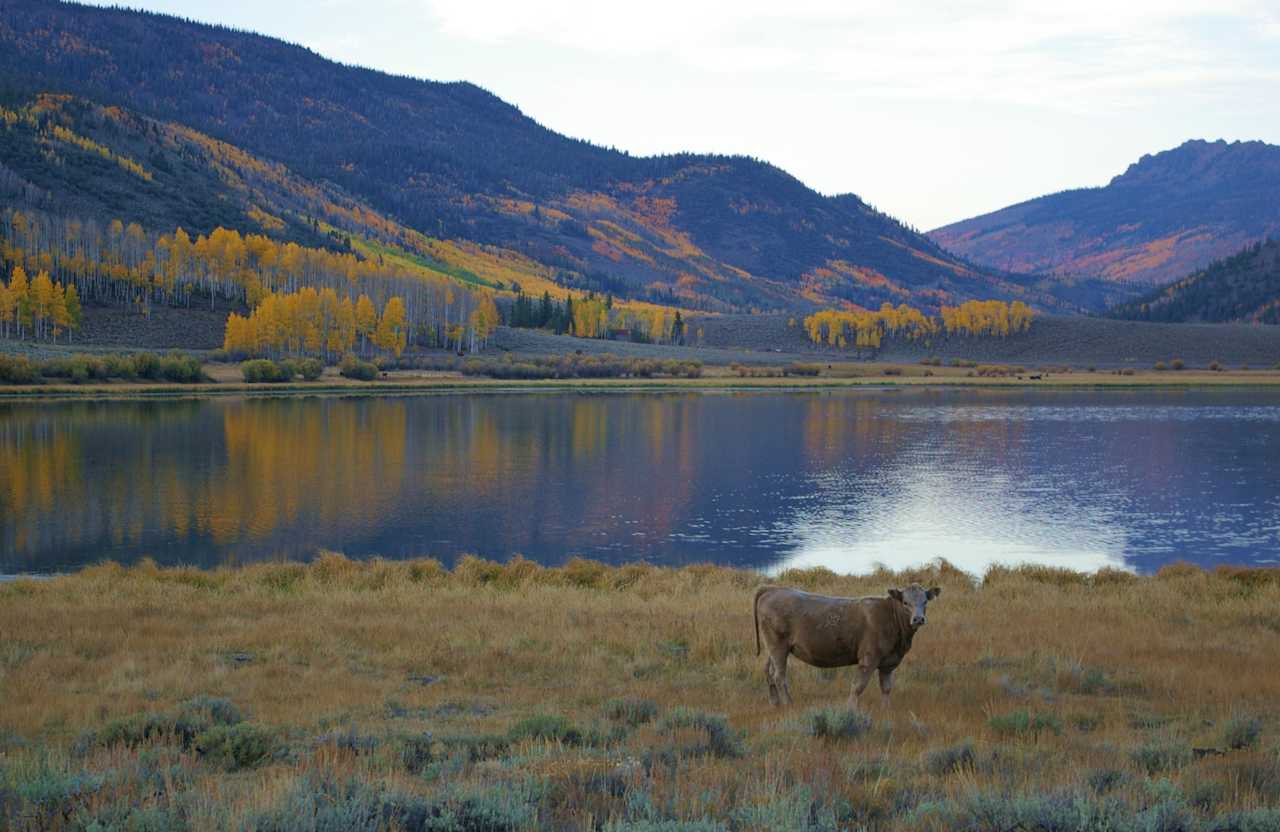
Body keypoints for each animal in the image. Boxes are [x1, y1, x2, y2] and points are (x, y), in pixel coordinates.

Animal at [747, 583, 942, 706]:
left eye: (925, 601)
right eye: (905, 602)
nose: (918, 619)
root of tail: (772, 589)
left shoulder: (888, 663)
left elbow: (886, 688)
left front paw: (886, 710)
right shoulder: (869, 658)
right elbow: (858, 687)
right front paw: (851, 709)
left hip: (773, 649)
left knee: (768, 672)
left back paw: (775, 703)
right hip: (778, 646)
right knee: (779, 676)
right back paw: (789, 704)